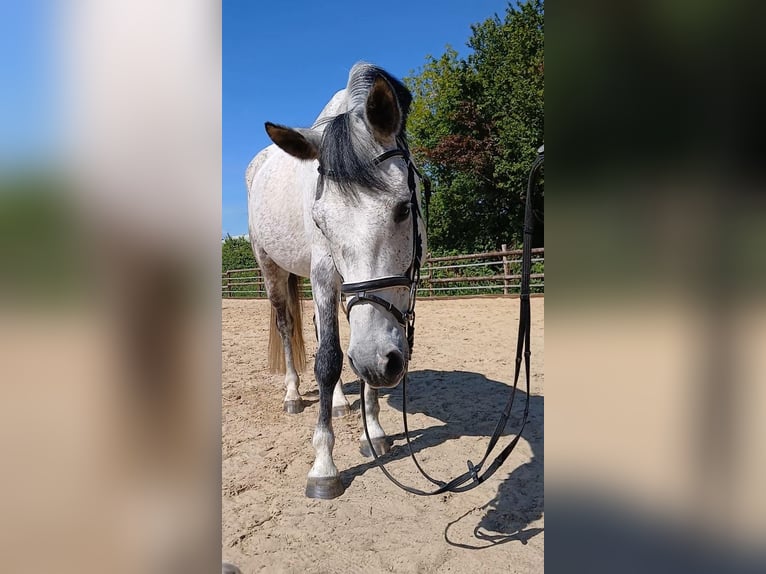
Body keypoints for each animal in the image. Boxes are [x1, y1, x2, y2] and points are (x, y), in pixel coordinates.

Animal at [246, 62, 427, 499]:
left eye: (403, 208)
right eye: (320, 220)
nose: (381, 364)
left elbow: (355, 355)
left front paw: (373, 431)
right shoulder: (325, 274)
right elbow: (327, 360)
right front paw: (324, 466)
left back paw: (343, 405)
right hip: (272, 270)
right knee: (287, 327)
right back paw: (293, 395)